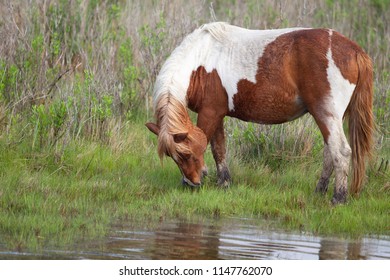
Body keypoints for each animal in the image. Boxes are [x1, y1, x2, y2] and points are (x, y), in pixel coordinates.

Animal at [145, 21, 374, 205]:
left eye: (185, 154)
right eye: (172, 156)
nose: (192, 183)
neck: (202, 60)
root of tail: (355, 50)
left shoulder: (209, 113)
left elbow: (213, 146)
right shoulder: (217, 114)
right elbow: (219, 149)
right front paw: (224, 183)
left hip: (325, 114)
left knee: (340, 151)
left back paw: (339, 198)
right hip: (331, 117)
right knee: (330, 152)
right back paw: (319, 191)